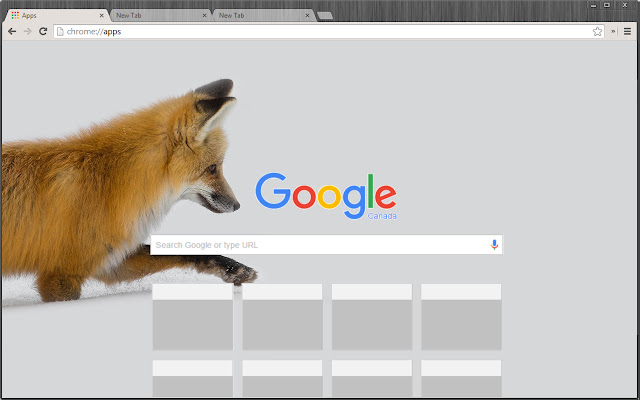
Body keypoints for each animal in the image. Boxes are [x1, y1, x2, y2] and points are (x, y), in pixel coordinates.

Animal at [2, 79, 257, 302]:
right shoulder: (60, 274)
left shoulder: (110, 260)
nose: (237, 205)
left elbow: (181, 252)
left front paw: (234, 269)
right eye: (213, 168)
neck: (111, 181)